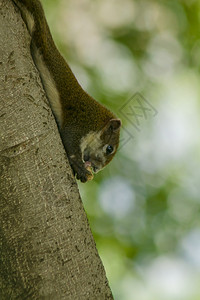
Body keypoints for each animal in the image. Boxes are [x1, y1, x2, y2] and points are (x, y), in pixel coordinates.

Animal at [12, 0, 122, 183]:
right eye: (109, 149)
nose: (96, 168)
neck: (99, 123)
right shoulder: (82, 123)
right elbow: (69, 142)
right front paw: (80, 168)